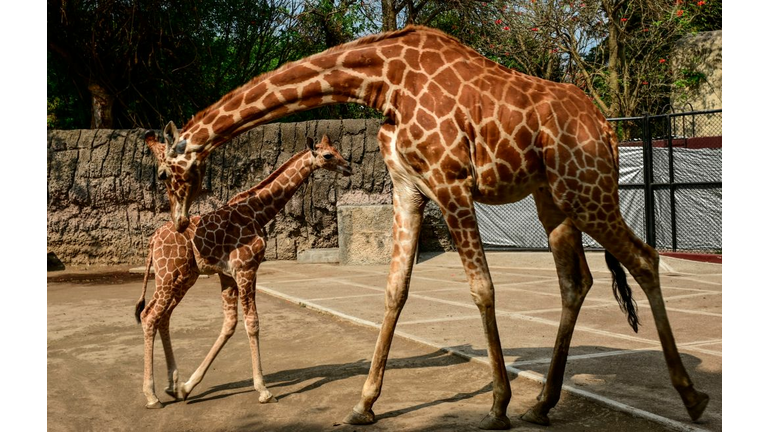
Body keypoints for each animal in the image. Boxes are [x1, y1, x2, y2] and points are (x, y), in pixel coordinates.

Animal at [136, 135, 352, 408]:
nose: (349, 167)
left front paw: (186, 387)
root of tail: (153, 239)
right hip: (168, 275)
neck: (258, 211)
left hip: (183, 277)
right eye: (327, 155)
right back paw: (151, 395)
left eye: (336, 150)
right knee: (149, 316)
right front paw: (263, 390)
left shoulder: (228, 275)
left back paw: (172, 384)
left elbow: (230, 323)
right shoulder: (246, 268)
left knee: (163, 317)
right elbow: (253, 322)